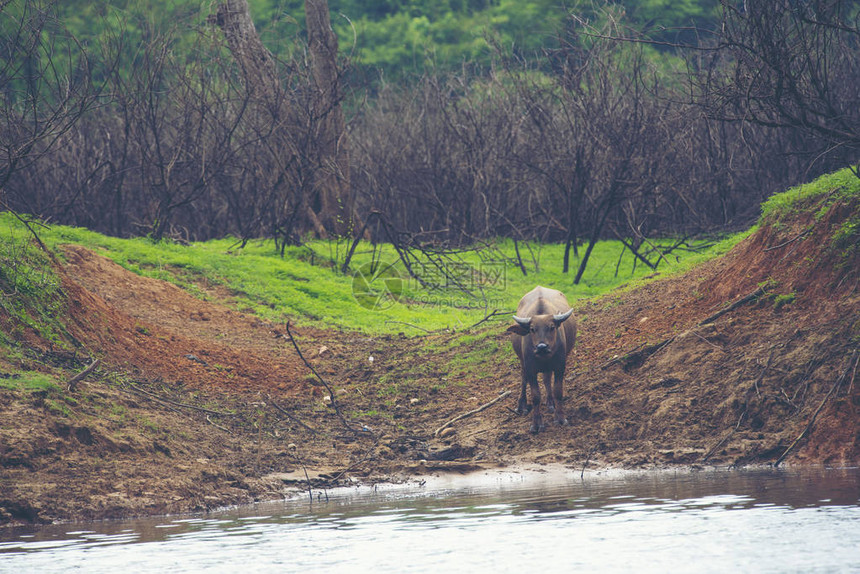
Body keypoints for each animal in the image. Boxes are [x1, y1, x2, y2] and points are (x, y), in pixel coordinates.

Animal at [504, 286, 576, 434]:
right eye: (532, 329)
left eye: (552, 327)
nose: (541, 347)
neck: (544, 357)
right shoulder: (531, 368)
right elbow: (535, 396)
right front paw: (536, 424)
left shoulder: (560, 366)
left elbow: (558, 391)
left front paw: (560, 418)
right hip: (522, 362)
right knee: (523, 379)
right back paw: (522, 406)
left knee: (547, 379)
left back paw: (550, 403)